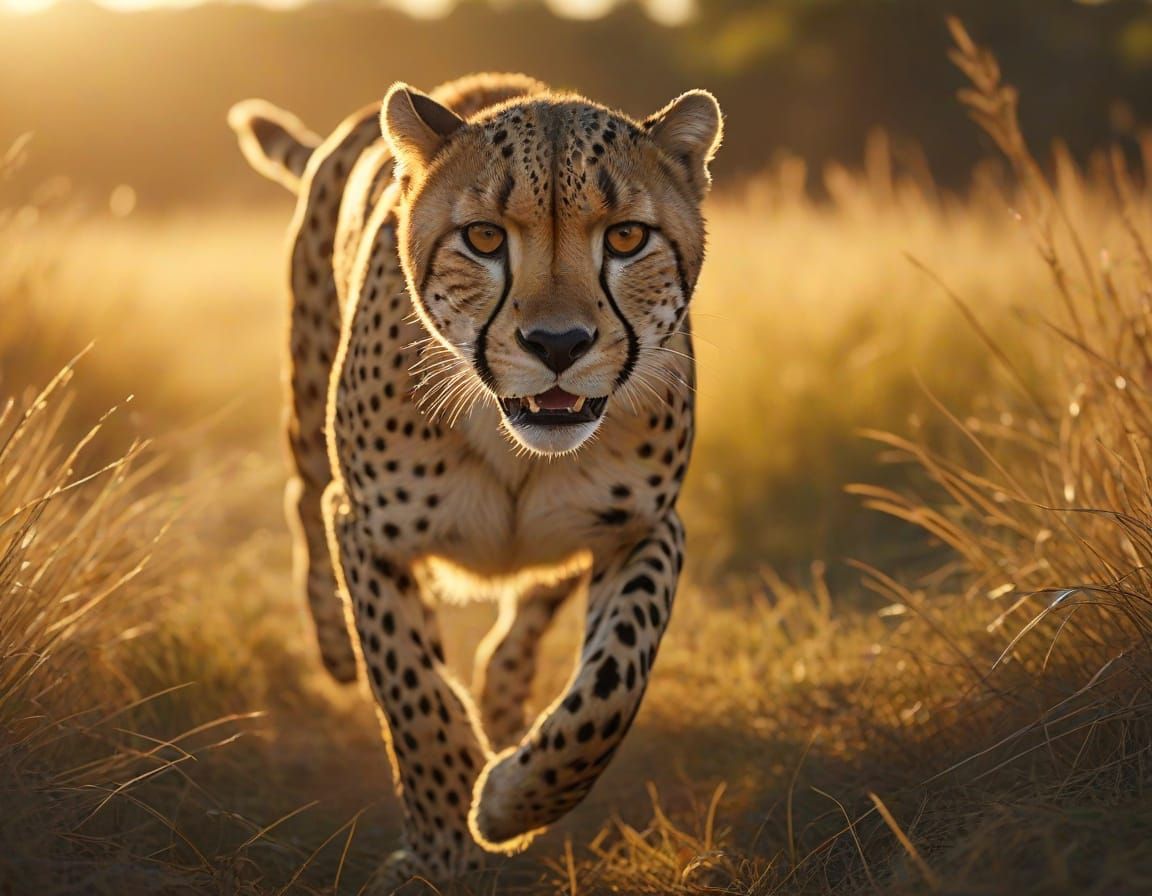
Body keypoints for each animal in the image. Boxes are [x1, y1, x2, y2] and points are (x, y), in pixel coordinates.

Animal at [229, 72, 722, 886]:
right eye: (484, 238)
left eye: (626, 237)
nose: (558, 344)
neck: (512, 439)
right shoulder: (371, 532)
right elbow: (413, 694)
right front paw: (441, 850)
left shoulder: (645, 528)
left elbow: (612, 687)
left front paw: (511, 801)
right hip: (305, 402)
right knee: (304, 498)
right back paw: (333, 642)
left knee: (536, 599)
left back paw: (503, 695)